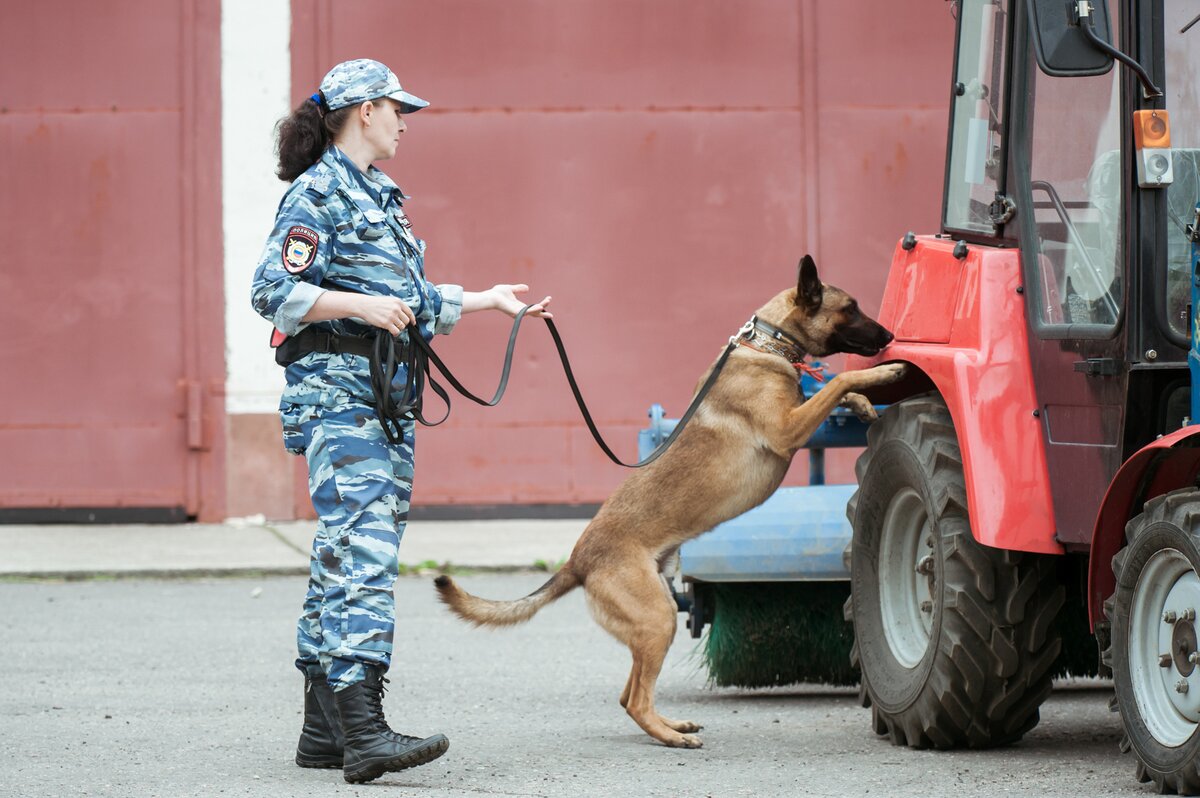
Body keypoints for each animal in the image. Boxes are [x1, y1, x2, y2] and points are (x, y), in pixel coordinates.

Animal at [436, 255, 902, 748]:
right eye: (850, 309)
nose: (890, 337)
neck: (767, 346)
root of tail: (577, 561)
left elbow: (835, 389)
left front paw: (863, 403)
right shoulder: (787, 428)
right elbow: (839, 380)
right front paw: (881, 374)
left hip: (655, 617)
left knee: (629, 693)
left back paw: (671, 725)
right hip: (658, 618)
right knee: (636, 699)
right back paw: (672, 737)